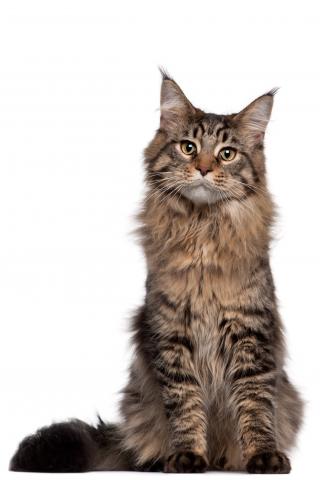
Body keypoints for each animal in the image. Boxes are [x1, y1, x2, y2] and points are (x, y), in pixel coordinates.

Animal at [11, 71, 304, 472]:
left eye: (227, 154)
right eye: (188, 147)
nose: (204, 168)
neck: (202, 232)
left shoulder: (250, 331)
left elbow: (255, 405)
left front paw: (262, 456)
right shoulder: (171, 332)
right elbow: (185, 405)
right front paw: (187, 456)